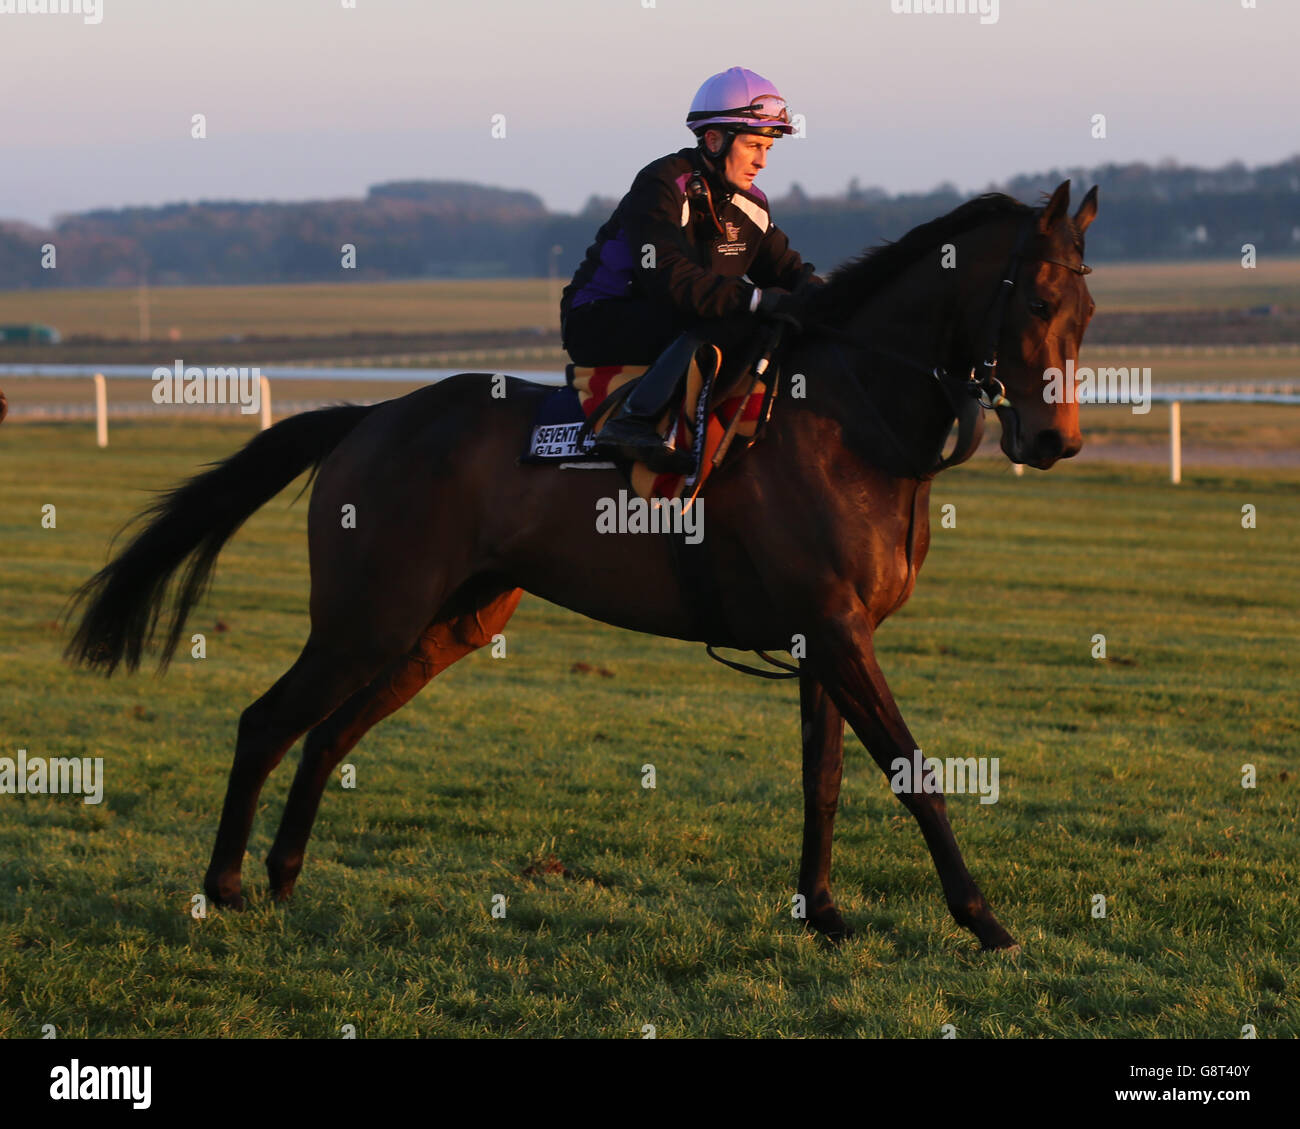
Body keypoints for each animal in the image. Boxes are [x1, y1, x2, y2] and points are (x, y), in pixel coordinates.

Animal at [63, 178, 1097, 952]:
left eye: (1088, 312)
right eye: (1038, 299)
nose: (1055, 441)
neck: (850, 418)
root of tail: (369, 416)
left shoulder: (825, 641)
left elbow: (828, 779)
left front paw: (826, 912)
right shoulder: (839, 634)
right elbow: (913, 772)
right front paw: (985, 919)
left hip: (446, 624)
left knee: (326, 735)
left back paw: (282, 879)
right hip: (367, 617)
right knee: (266, 723)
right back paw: (227, 884)